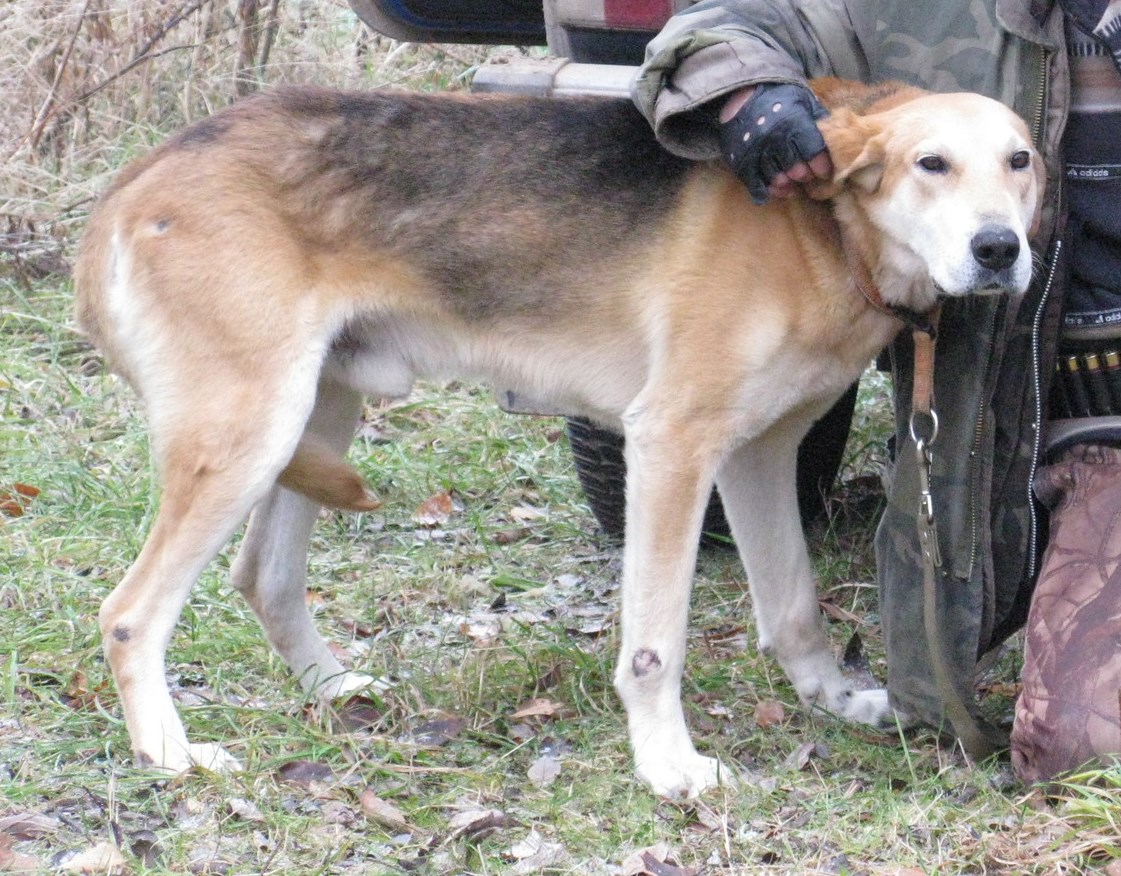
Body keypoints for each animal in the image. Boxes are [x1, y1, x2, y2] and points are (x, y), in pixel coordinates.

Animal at [72, 76, 1040, 798]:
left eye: (1019, 161)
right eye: (930, 164)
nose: (999, 250)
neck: (821, 225)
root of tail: (135, 178)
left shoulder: (758, 454)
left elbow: (794, 608)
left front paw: (832, 698)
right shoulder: (671, 445)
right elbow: (653, 645)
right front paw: (668, 766)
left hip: (314, 417)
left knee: (264, 578)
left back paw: (335, 689)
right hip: (248, 436)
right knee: (129, 615)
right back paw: (171, 754)